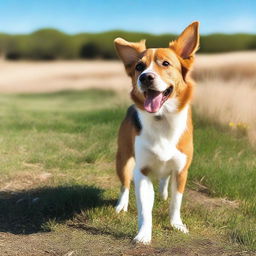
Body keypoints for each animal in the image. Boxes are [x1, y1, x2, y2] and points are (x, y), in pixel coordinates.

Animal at [114, 22, 200, 244]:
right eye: (139, 67)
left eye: (166, 63)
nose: (146, 77)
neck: (162, 119)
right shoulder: (142, 171)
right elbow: (145, 209)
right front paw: (144, 234)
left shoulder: (181, 171)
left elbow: (176, 202)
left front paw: (176, 224)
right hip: (123, 159)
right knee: (125, 184)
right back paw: (121, 205)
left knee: (164, 180)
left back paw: (163, 192)